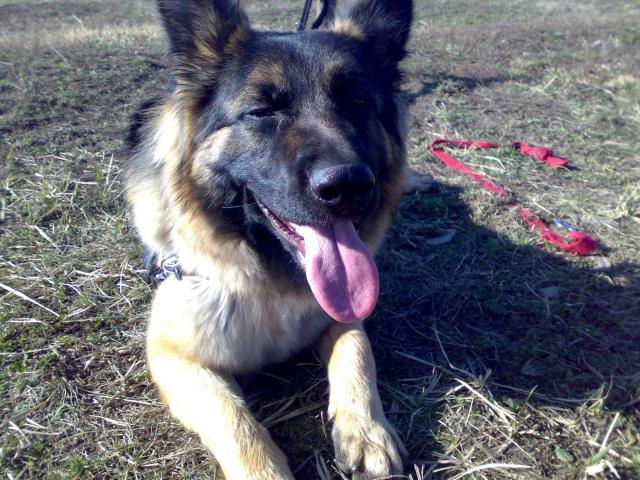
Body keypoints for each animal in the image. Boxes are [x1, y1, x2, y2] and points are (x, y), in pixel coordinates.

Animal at [125, 0, 415, 477]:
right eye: (261, 111)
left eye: (357, 102)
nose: (347, 187)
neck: (268, 280)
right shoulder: (174, 355)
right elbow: (233, 418)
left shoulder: (344, 316)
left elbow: (357, 354)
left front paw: (367, 431)